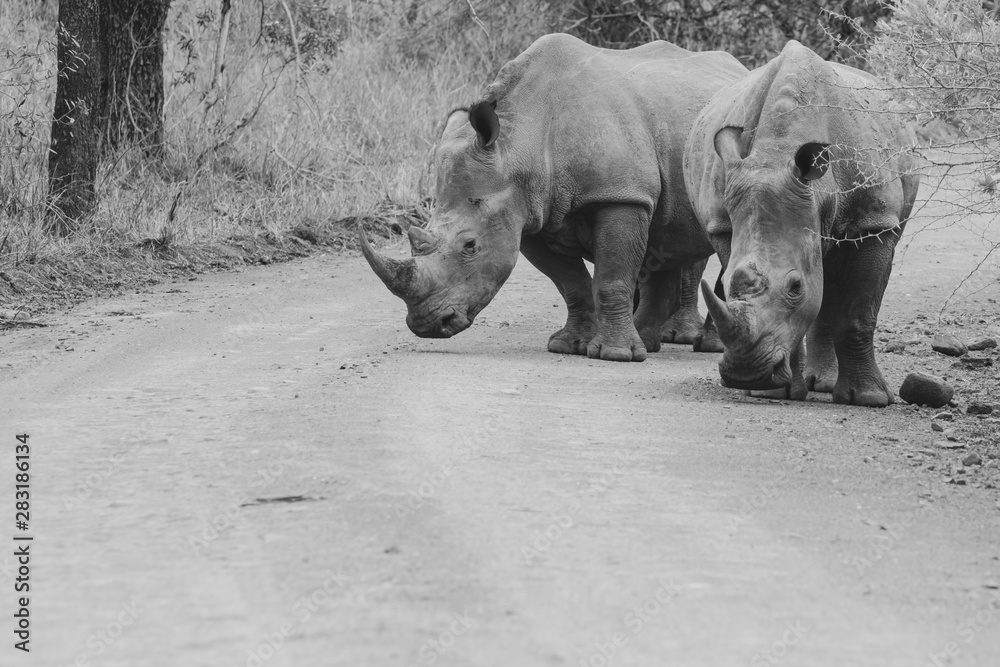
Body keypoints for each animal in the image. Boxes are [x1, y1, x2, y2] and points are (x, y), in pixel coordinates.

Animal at [361, 33, 746, 361]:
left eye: (470, 246)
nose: (427, 325)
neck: (520, 142)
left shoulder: (620, 195)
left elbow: (611, 277)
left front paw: (613, 355)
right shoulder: (529, 212)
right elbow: (570, 283)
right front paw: (569, 346)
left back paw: (704, 346)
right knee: (668, 235)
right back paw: (649, 342)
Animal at [684, 41, 920, 406]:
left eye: (795, 287)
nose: (745, 373)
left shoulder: (874, 224)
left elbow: (857, 313)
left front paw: (869, 399)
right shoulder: (724, 224)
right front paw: (774, 391)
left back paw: (824, 385)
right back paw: (814, 383)